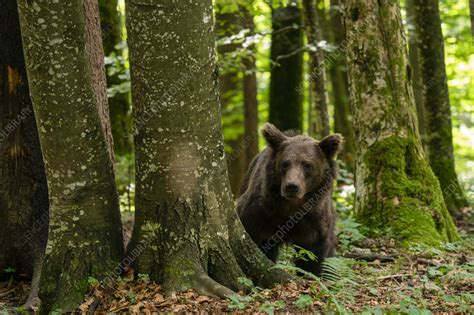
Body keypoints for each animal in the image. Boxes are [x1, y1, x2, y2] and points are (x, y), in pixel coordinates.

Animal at [236, 123, 340, 276]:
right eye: (285, 163)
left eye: (307, 165)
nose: (291, 186)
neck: (291, 206)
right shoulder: (261, 213)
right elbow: (255, 236)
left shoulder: (315, 220)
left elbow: (313, 254)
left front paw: (312, 274)